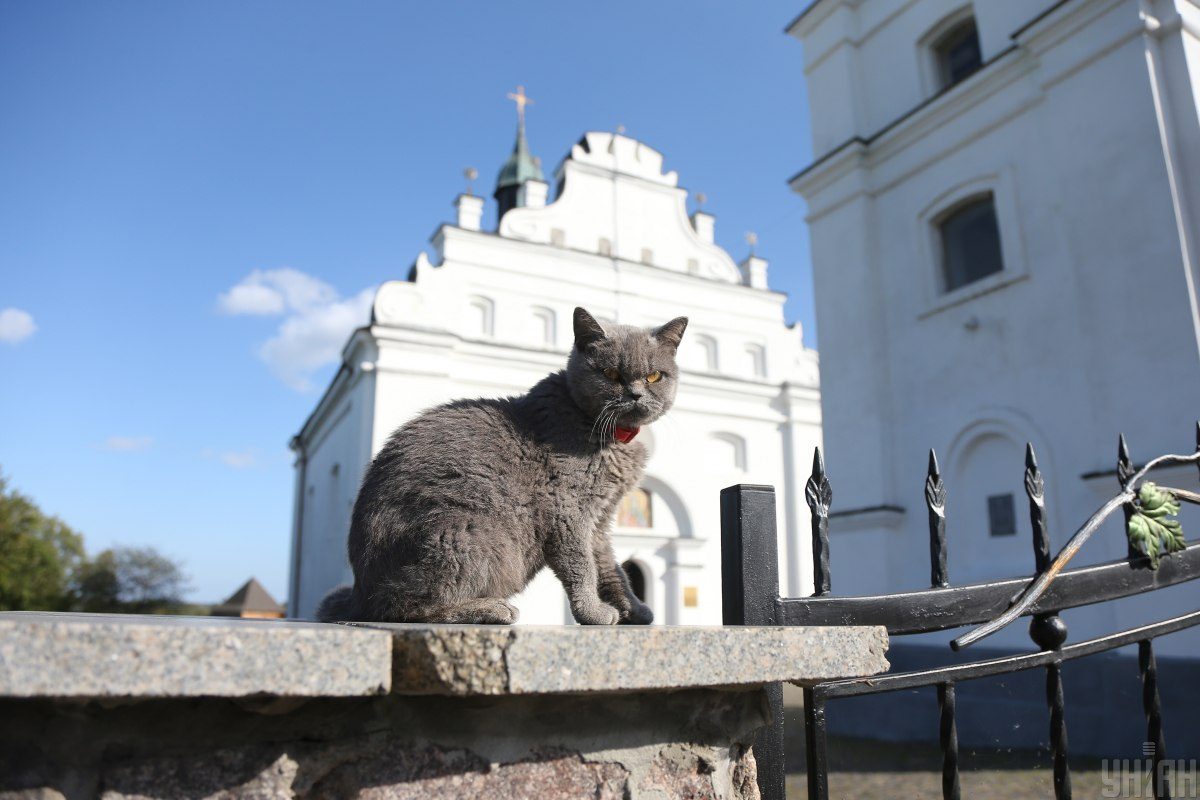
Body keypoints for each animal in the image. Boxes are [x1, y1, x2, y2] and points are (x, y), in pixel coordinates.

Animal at [314, 307, 691, 623]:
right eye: (611, 373)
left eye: (655, 376)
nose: (636, 395)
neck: (612, 438)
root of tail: (360, 593)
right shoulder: (567, 511)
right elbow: (582, 566)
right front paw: (593, 613)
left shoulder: (600, 519)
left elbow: (611, 568)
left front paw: (635, 609)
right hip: (463, 532)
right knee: (402, 605)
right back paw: (490, 608)